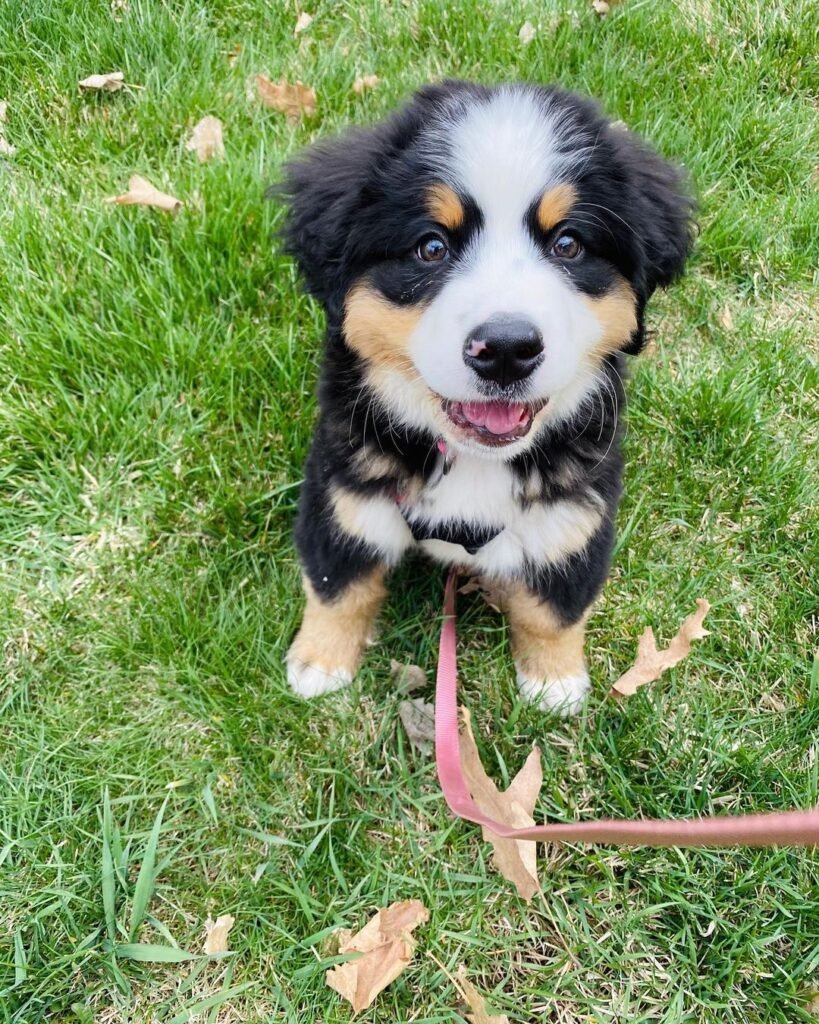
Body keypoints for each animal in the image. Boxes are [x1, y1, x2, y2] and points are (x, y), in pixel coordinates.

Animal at [278, 80, 693, 715]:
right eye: (431, 247)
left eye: (568, 243)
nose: (505, 349)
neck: (474, 462)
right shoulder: (342, 483)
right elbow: (338, 583)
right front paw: (320, 664)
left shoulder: (577, 506)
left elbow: (555, 606)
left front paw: (555, 681)